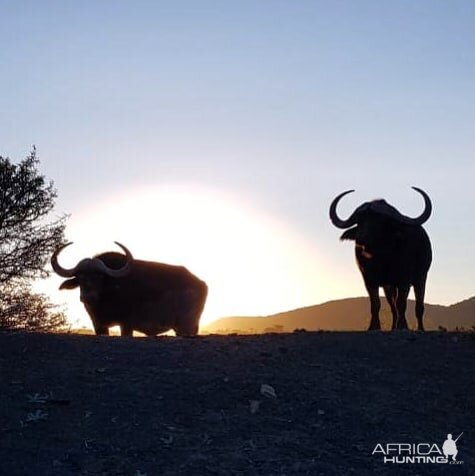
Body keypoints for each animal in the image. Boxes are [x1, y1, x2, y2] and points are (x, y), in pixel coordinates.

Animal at [52, 244, 208, 336]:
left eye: (100, 276)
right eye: (80, 276)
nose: (88, 296)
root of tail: (201, 283)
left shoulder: (126, 324)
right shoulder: (99, 326)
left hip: (186, 326)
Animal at [330, 187, 434, 330]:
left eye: (379, 221)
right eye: (360, 221)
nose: (361, 239)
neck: (381, 258)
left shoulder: (404, 279)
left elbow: (402, 303)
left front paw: (402, 326)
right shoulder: (369, 280)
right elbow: (375, 304)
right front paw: (374, 326)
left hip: (421, 278)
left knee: (418, 305)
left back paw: (420, 328)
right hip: (389, 286)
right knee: (393, 306)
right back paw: (393, 326)